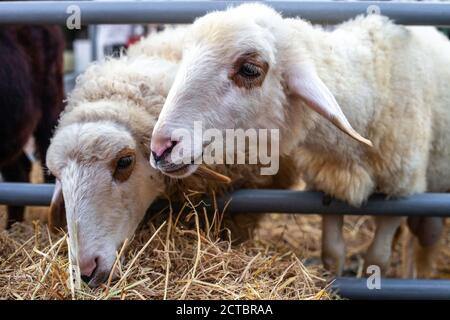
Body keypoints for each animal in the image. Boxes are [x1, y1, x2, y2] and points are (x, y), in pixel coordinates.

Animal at [150, 3, 450, 278]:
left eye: (249, 69)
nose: (160, 148)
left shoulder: (400, 191)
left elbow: (376, 259)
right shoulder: (328, 185)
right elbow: (332, 253)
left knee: (425, 240)